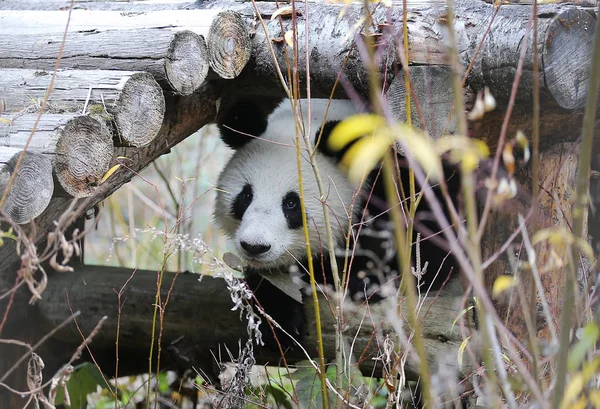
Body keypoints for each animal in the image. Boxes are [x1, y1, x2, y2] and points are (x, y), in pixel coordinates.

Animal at [213, 97, 462, 342]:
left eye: (291, 203)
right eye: (246, 196)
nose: (255, 246)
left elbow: (431, 239)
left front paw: (360, 279)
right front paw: (277, 315)